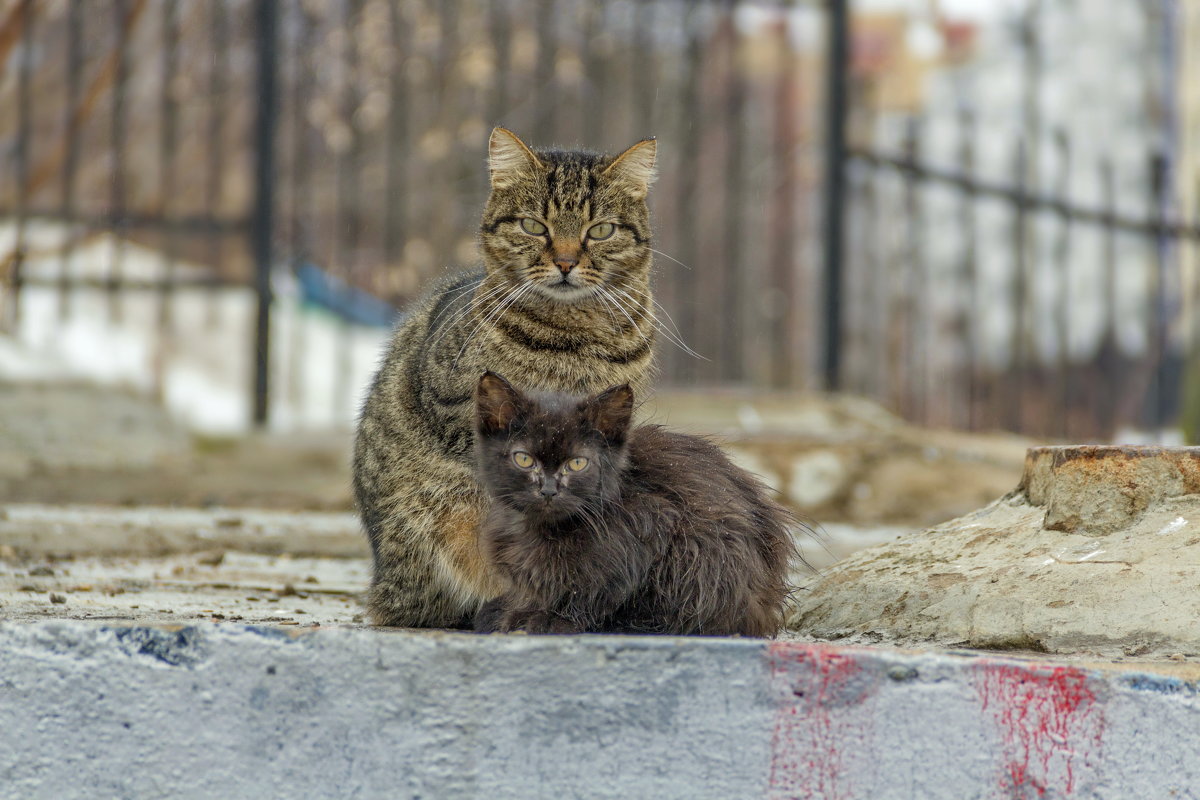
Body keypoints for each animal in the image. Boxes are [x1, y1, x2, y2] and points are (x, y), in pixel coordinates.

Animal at [472, 371, 801, 642]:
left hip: (703, 548)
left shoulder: (649, 521)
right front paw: (517, 609)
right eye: (524, 459)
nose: (549, 490)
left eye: (577, 463)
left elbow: (596, 589)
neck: (541, 528)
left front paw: (550, 618)